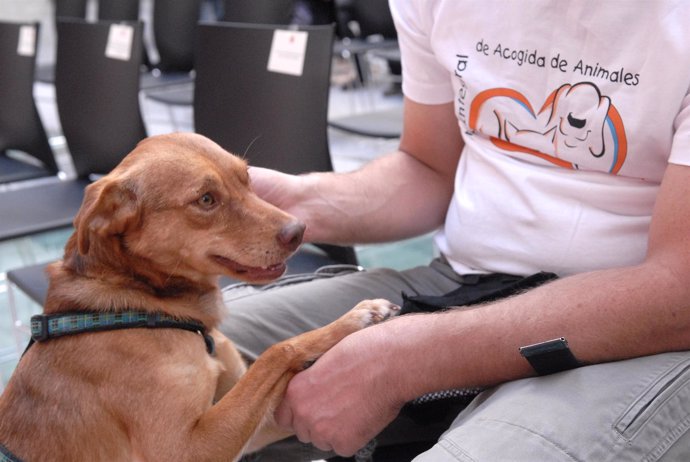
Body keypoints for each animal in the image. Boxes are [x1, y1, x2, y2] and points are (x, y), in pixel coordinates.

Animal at [0, 134, 398, 462]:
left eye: (247, 178)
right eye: (206, 199)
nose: (299, 231)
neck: (145, 301)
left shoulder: (250, 424)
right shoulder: (186, 449)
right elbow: (279, 350)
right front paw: (358, 317)